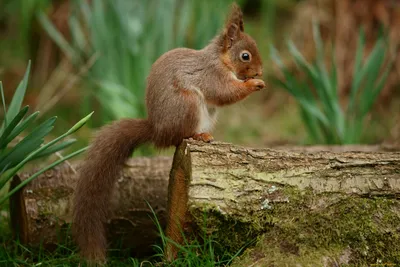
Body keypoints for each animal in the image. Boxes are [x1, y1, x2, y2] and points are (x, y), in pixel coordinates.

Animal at [72, 2, 266, 264]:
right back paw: (198, 136)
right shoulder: (211, 75)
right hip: (187, 105)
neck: (220, 60)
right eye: (245, 55)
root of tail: (157, 129)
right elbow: (225, 92)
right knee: (179, 137)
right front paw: (253, 85)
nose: (259, 71)